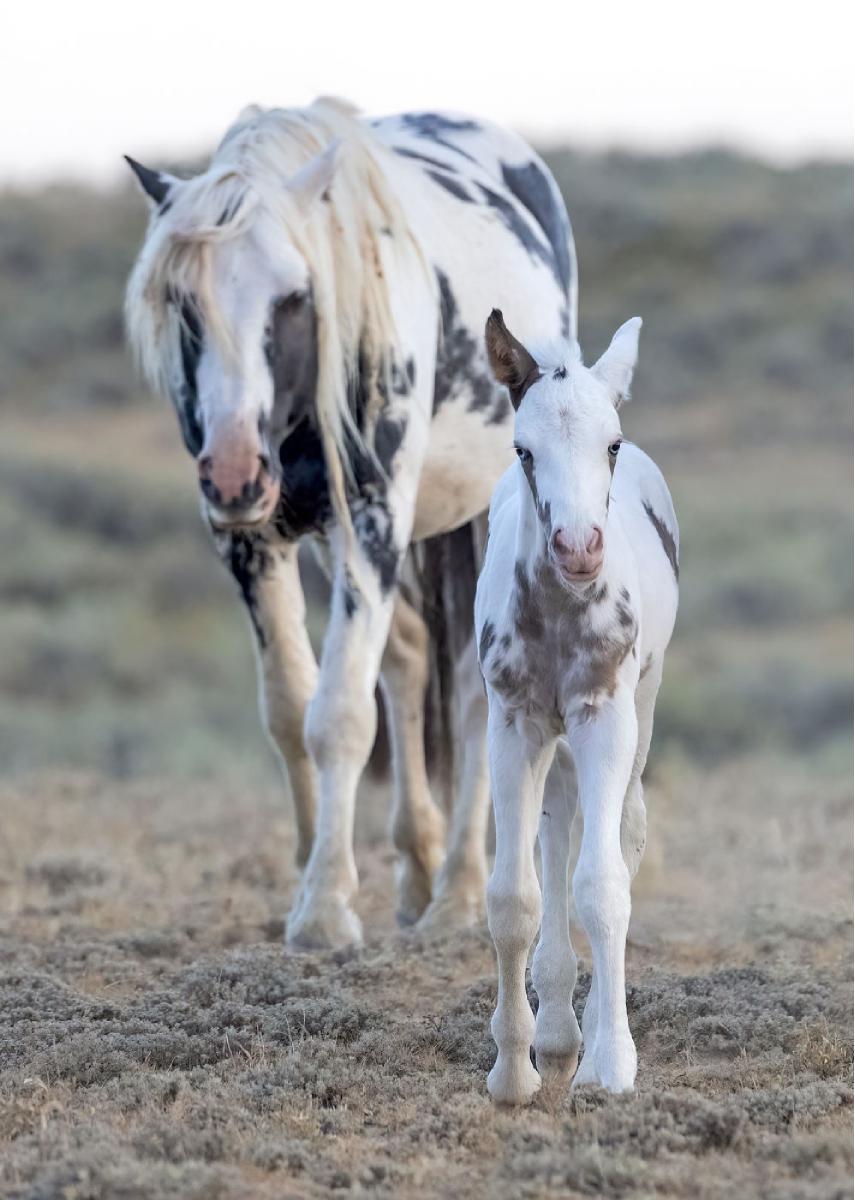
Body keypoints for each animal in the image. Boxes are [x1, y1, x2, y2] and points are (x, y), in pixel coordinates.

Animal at [123, 98, 574, 945]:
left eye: (293, 297)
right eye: (186, 303)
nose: (232, 470)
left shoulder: (373, 517)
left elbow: (337, 715)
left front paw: (327, 908)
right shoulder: (250, 540)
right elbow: (289, 706)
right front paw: (306, 876)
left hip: (462, 522)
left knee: (470, 691)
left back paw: (457, 895)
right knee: (407, 658)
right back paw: (418, 871)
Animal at [477, 312, 677, 1104]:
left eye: (610, 444)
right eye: (523, 449)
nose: (578, 547)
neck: (562, 613)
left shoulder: (604, 716)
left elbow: (603, 886)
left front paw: (613, 1064)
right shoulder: (513, 724)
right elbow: (513, 897)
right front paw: (513, 1068)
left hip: (639, 710)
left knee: (621, 833)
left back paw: (586, 1041)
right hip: (552, 743)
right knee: (555, 827)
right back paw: (558, 1032)